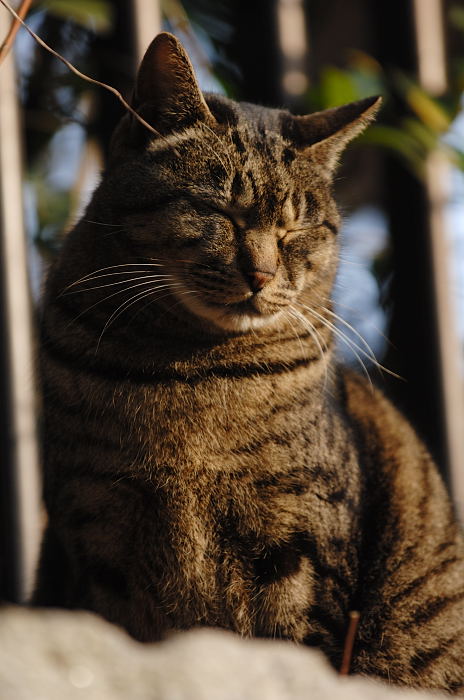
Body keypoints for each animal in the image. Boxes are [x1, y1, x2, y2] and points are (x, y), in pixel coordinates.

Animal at [34, 31, 464, 688]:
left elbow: (292, 649)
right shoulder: (97, 527)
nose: (261, 274)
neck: (188, 372)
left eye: (295, 232)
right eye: (221, 213)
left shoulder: (297, 540)